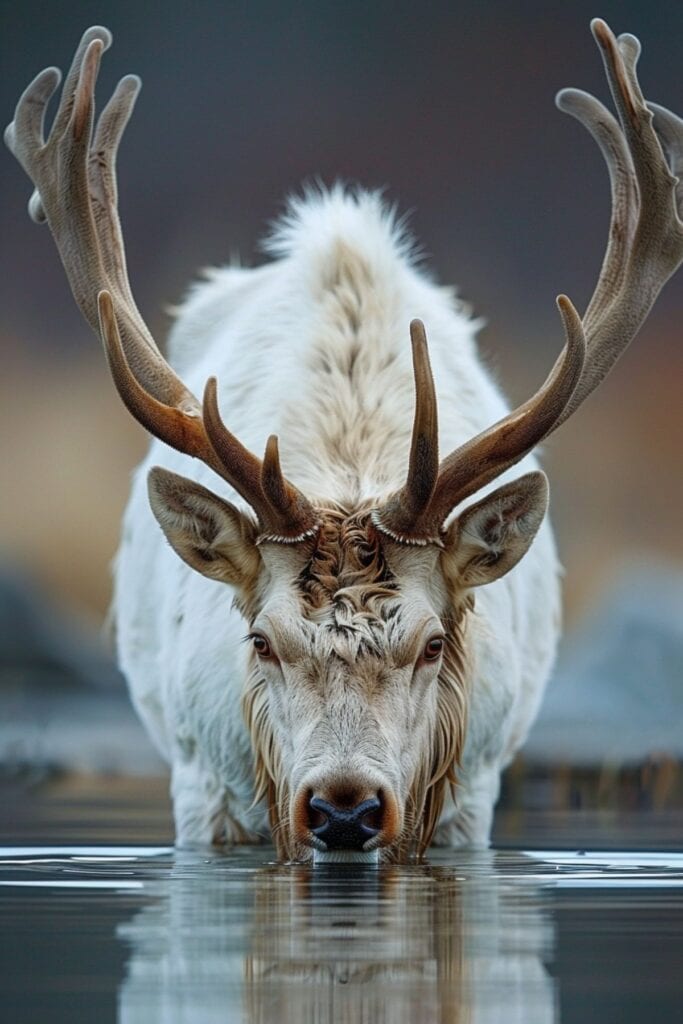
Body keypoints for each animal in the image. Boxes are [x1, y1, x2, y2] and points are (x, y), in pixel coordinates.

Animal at [6, 19, 683, 860]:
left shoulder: (473, 790)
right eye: (262, 640)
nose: (343, 809)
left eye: (431, 644)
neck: (352, 467)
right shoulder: (201, 783)